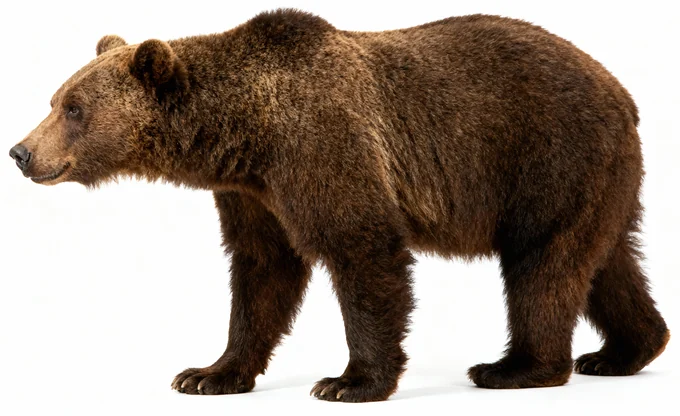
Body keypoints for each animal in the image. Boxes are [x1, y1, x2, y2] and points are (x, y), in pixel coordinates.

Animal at [9, 9, 670, 402]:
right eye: (54, 98)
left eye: (74, 107)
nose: (20, 151)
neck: (247, 132)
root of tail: (623, 92)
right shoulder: (252, 193)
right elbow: (262, 272)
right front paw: (206, 373)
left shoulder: (323, 147)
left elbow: (361, 251)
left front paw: (348, 381)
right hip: (602, 181)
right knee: (607, 262)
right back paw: (624, 350)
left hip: (550, 158)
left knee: (542, 265)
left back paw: (515, 367)